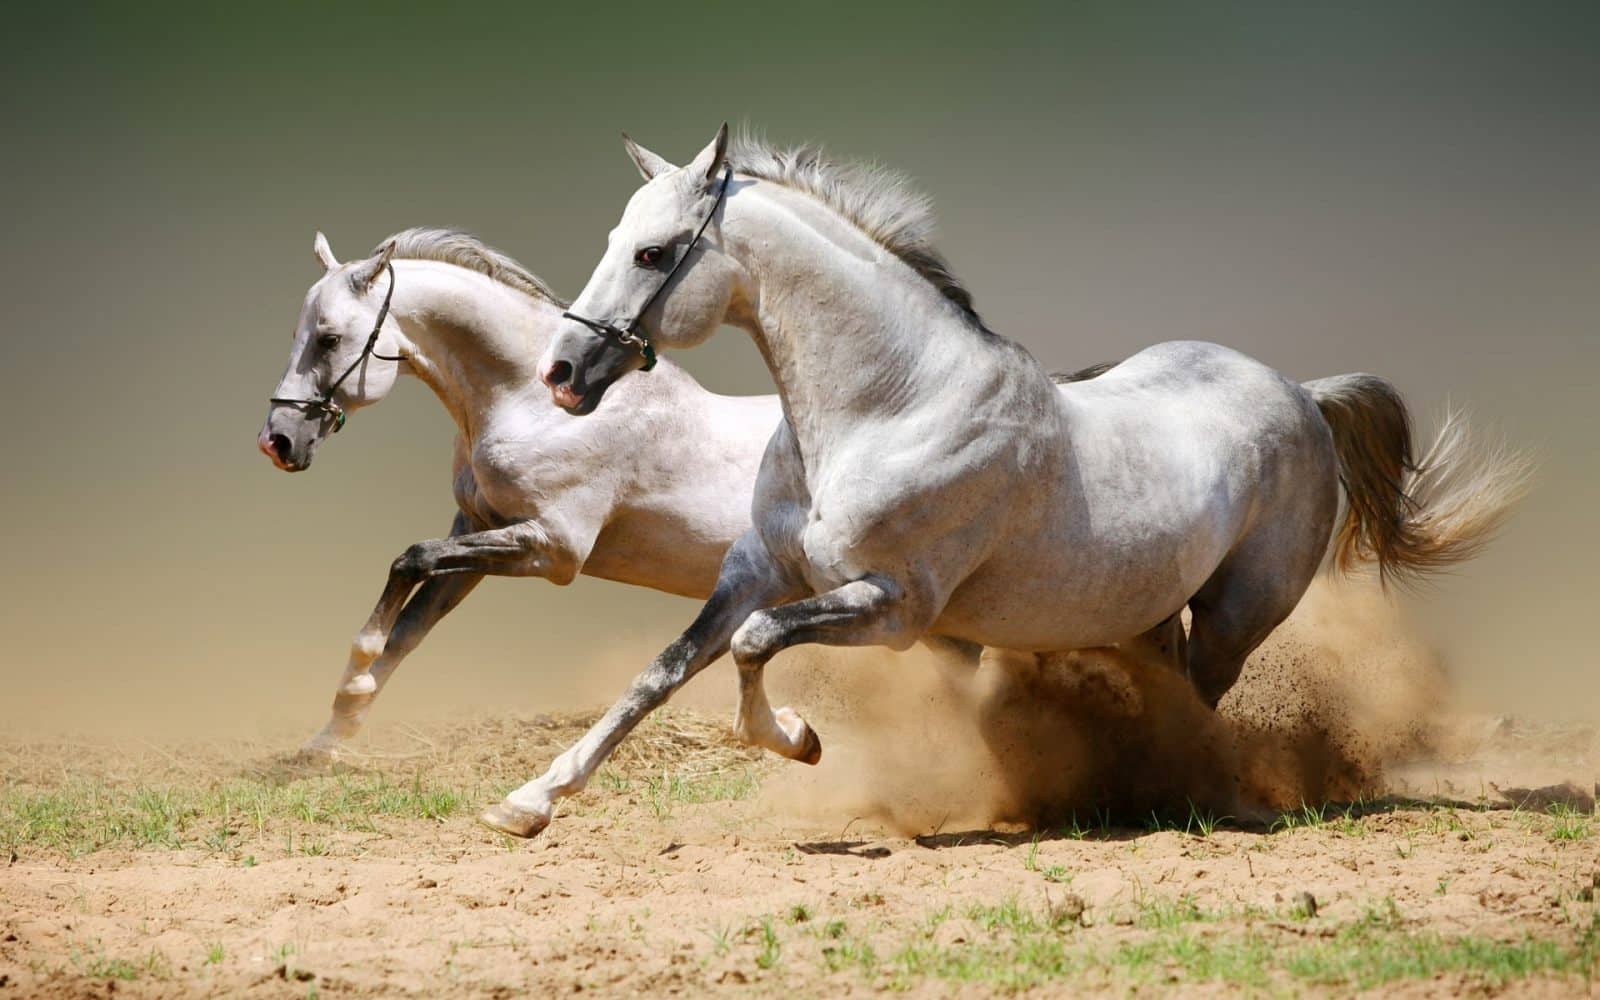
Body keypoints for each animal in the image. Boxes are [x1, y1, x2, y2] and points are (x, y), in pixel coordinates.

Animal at [257, 228, 781, 759]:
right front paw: (328, 737)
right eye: (297, 335)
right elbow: (408, 628)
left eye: (329, 339)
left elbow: (411, 559)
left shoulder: (553, 549)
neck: (535, 406)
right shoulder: (479, 531)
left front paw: (355, 678)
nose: (276, 441)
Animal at [478, 126, 1529, 838]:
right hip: (1146, 611)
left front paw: (801, 739)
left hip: (1238, 613)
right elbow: (663, 672)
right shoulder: (757, 571)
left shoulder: (894, 608)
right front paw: (528, 802)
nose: (563, 373)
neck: (888, 407)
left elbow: (752, 646)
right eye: (618, 237)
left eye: (654, 252)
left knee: (1203, 701)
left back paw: (1193, 793)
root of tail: (1303, 395)